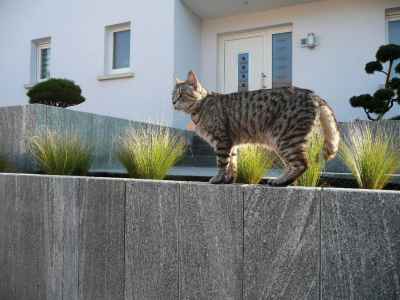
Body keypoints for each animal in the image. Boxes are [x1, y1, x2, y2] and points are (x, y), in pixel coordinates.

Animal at [173, 72, 340, 186]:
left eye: (181, 94)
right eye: (172, 95)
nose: (173, 102)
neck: (200, 108)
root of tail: (313, 94)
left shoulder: (221, 140)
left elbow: (222, 163)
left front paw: (218, 178)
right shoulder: (231, 144)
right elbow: (232, 163)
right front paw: (228, 180)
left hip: (285, 138)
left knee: (302, 164)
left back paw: (281, 182)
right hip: (282, 142)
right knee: (292, 165)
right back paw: (282, 180)